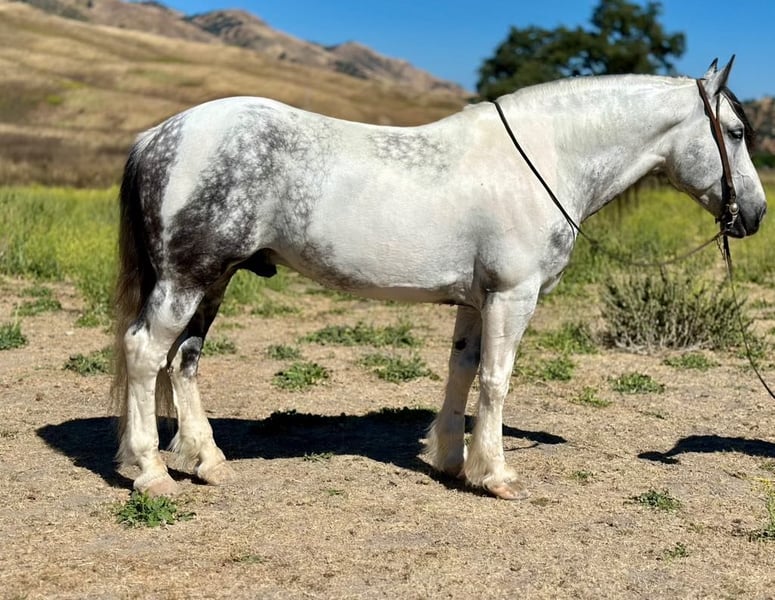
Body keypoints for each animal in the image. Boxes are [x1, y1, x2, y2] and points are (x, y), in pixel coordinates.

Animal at [112, 58, 766, 500]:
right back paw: (151, 472)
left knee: (184, 361)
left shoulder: (476, 301)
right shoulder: (512, 297)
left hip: (214, 281)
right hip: (186, 280)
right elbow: (496, 381)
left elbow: (461, 372)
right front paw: (495, 473)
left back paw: (206, 461)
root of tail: (157, 136)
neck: (543, 159)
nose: (756, 214)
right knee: (145, 353)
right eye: (734, 132)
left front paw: (451, 459)